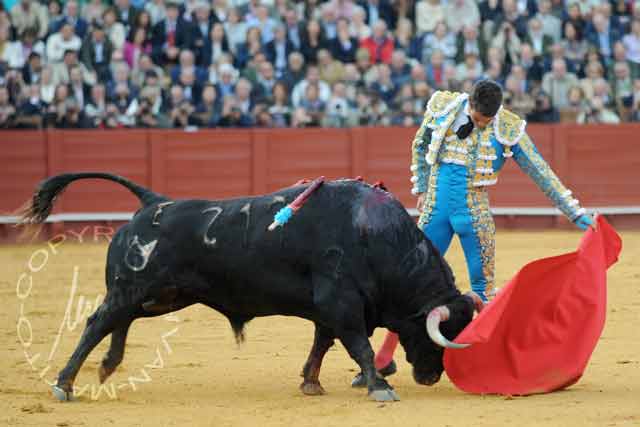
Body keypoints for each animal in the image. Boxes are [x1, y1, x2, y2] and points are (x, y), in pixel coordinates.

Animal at [18, 172, 480, 402]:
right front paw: (379, 387)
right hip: (134, 288)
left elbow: (322, 343)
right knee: (97, 322)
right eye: (437, 334)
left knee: (121, 320)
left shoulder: (329, 308)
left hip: (161, 296)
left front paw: (311, 383)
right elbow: (357, 345)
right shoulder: (341, 301)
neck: (375, 235)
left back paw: (107, 366)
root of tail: (153, 203)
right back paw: (65, 384)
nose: (430, 377)